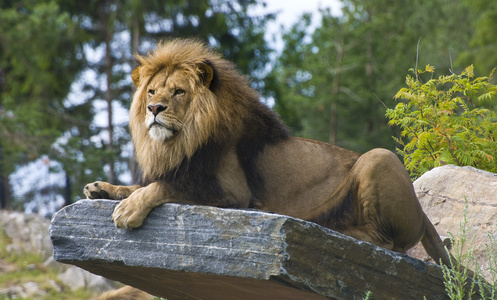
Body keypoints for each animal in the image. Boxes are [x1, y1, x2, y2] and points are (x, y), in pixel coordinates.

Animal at [84, 37, 458, 270]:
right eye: (151, 91)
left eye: (177, 92)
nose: (154, 109)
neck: (181, 141)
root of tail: (422, 211)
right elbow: (140, 184)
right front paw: (103, 188)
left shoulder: (232, 194)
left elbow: (164, 188)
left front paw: (129, 209)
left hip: (378, 157)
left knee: (387, 244)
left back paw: (336, 228)